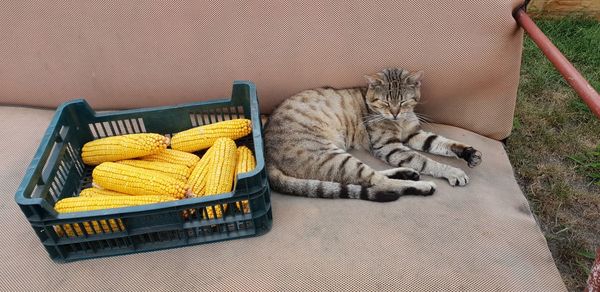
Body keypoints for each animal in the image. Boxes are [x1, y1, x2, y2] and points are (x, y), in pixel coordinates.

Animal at [264, 67, 480, 202]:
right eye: (385, 103)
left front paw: (468, 152)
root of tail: (267, 158)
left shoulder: (414, 134)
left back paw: (406, 173)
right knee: (378, 182)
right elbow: (425, 160)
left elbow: (441, 143)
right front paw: (453, 172)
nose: (395, 113)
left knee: (369, 177)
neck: (400, 121)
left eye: (403, 102)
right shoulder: (389, 146)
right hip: (331, 155)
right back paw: (423, 186)